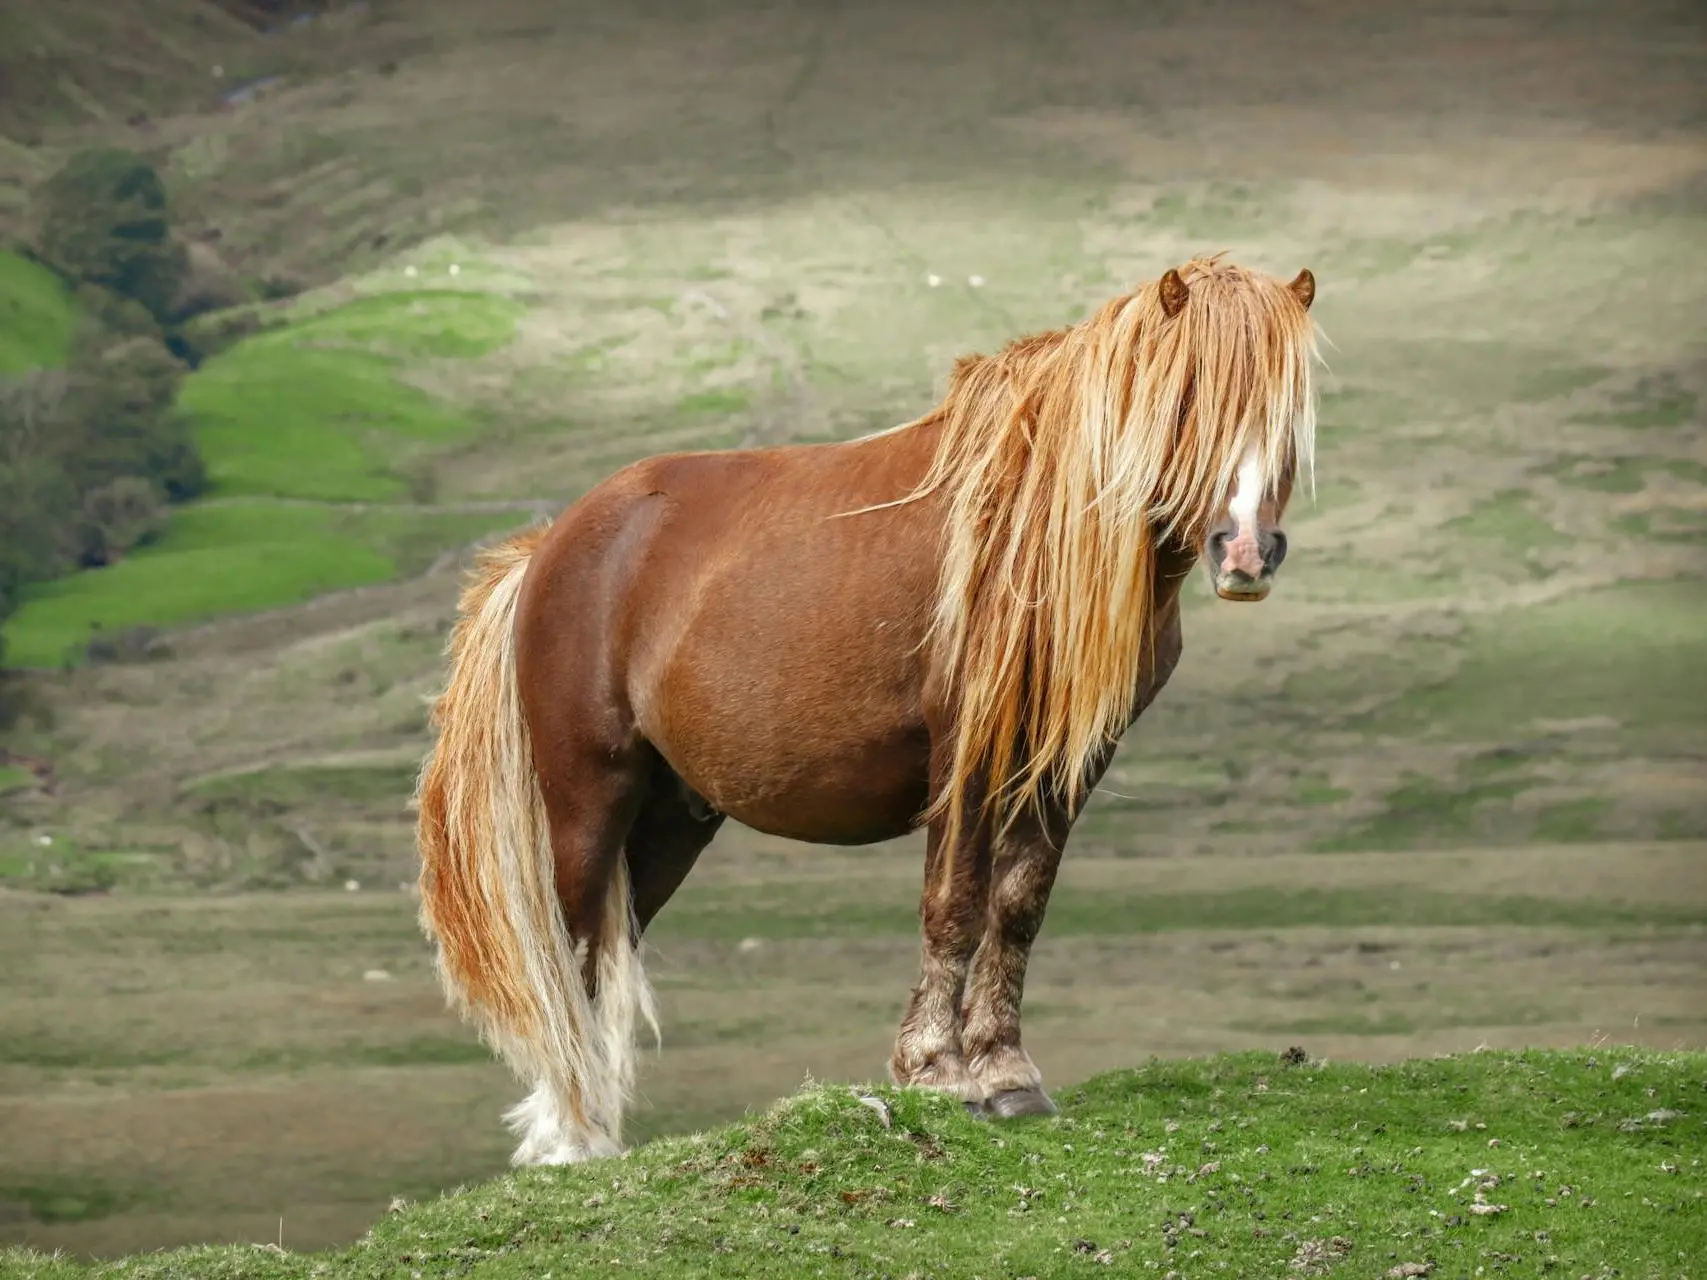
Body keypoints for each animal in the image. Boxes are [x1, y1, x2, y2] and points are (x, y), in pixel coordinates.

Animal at [416, 256, 1317, 1167]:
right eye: (1189, 394)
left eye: (1288, 407)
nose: (1246, 552)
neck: (1032, 525)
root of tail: (549, 548)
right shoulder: (963, 750)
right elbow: (953, 901)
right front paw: (937, 1071)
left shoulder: (1068, 762)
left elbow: (1018, 905)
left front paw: (1007, 1075)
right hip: (588, 793)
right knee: (568, 947)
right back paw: (568, 1138)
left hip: (671, 818)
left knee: (609, 944)